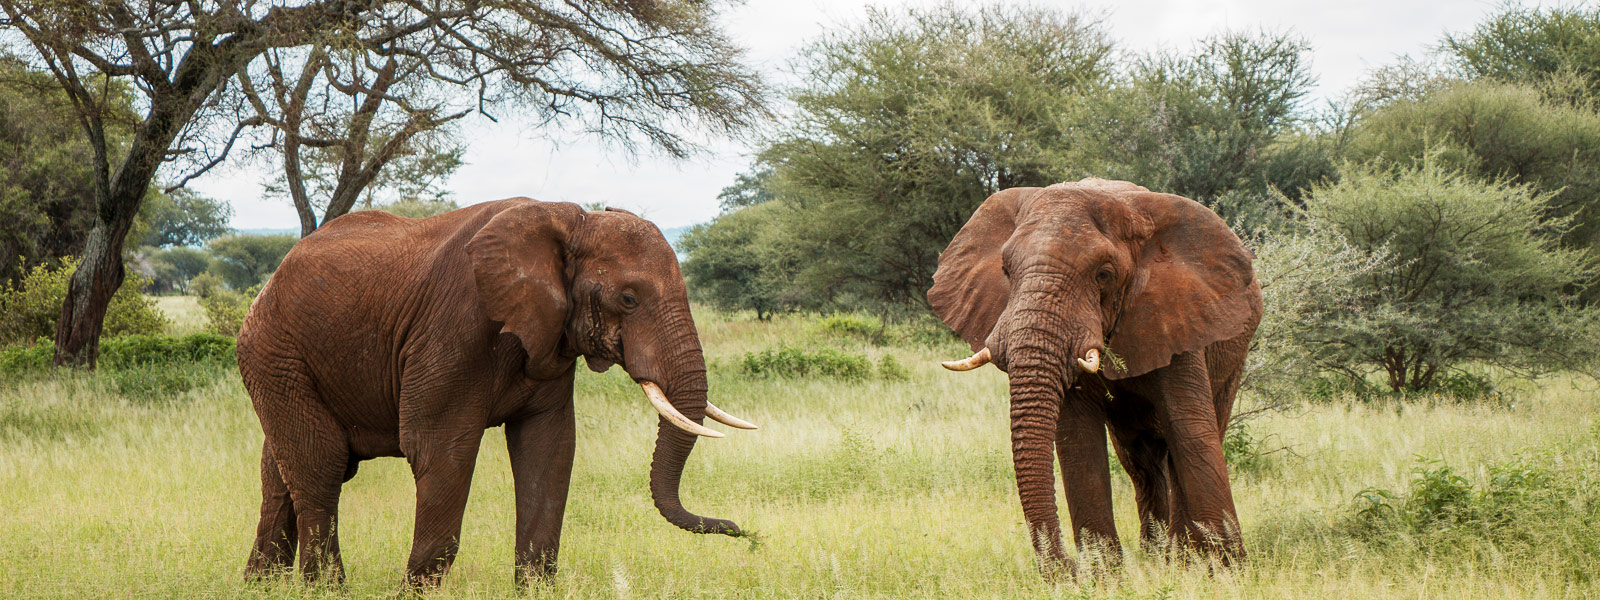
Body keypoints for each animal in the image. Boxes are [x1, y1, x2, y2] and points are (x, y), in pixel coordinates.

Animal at [236, 197, 755, 588]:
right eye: (628, 299)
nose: (740, 531)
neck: (569, 221)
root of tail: (271, 279)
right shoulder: (454, 329)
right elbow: (439, 450)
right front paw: (412, 593)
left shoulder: (548, 336)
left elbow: (549, 448)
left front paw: (536, 589)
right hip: (274, 353)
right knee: (320, 467)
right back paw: (326, 588)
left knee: (281, 470)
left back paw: (260, 586)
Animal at [928, 178, 1260, 579]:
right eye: (1006, 270)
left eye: (1104, 274)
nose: (1066, 568)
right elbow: (1078, 437)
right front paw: (1105, 576)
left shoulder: (1179, 315)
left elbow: (1190, 428)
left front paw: (1228, 570)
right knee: (1140, 461)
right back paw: (1157, 554)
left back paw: (1180, 557)